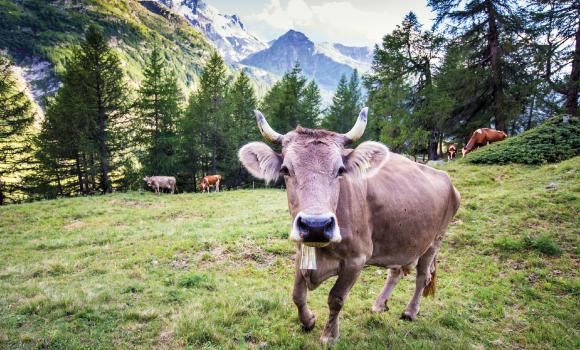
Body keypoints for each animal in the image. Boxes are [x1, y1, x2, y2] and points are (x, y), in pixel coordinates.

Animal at [238, 108, 460, 344]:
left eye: (340, 170)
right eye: (286, 169)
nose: (316, 225)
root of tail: (445, 177)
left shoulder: (356, 259)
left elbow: (336, 298)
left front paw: (329, 335)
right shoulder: (301, 251)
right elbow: (297, 294)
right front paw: (308, 321)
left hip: (434, 241)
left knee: (422, 277)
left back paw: (410, 311)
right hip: (400, 241)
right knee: (396, 271)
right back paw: (379, 305)